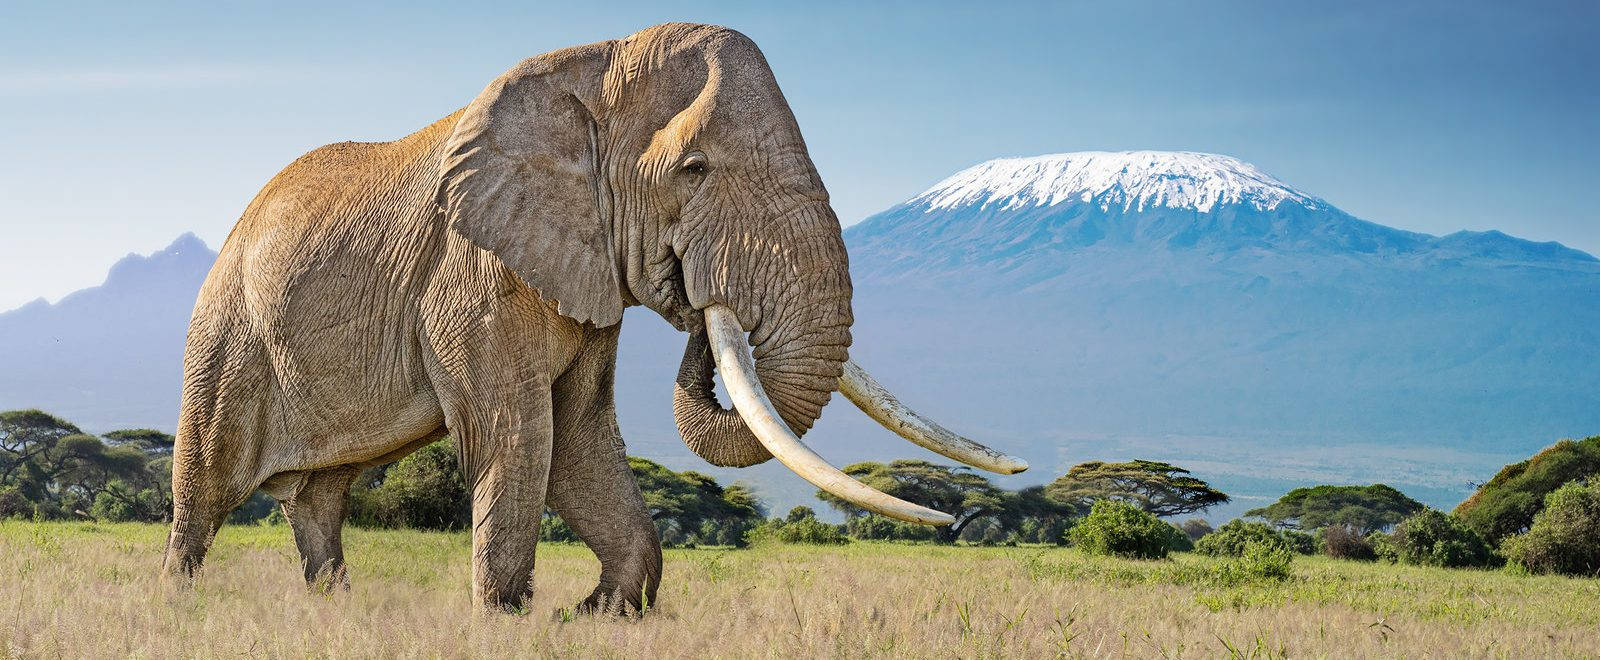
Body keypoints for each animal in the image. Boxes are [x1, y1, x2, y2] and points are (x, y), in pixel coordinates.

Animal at [162, 22, 1026, 614]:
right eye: (694, 168)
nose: (698, 299)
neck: (593, 64)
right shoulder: (475, 272)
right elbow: (522, 435)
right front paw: (511, 622)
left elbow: (577, 437)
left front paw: (594, 616)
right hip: (226, 334)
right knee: (204, 490)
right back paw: (182, 610)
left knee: (319, 500)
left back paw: (334, 613)